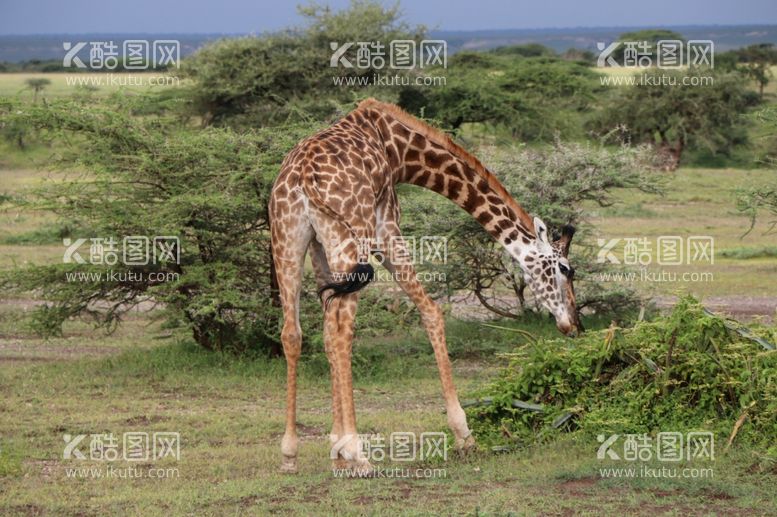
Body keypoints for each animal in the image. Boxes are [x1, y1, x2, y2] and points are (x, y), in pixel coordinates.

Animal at [270, 99, 580, 474]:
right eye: (565, 269)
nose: (574, 324)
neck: (400, 150)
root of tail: (302, 178)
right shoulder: (386, 229)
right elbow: (432, 311)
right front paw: (464, 434)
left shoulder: (320, 251)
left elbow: (324, 334)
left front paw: (336, 452)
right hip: (349, 240)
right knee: (343, 331)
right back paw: (359, 453)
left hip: (287, 241)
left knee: (295, 333)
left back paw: (291, 453)